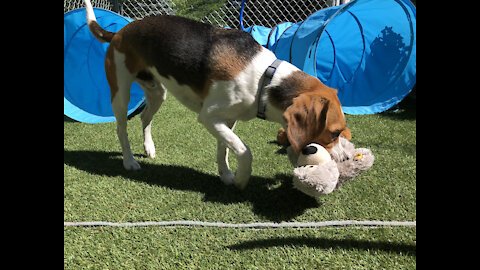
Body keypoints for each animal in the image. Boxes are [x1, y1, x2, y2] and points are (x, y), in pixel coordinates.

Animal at [84, 0, 350, 190]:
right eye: (334, 133)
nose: (346, 159)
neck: (265, 80)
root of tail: (119, 32)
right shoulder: (209, 117)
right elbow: (244, 151)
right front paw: (241, 179)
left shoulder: (227, 120)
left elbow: (225, 149)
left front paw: (226, 175)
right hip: (121, 93)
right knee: (121, 128)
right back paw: (129, 161)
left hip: (157, 92)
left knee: (144, 117)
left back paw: (148, 148)